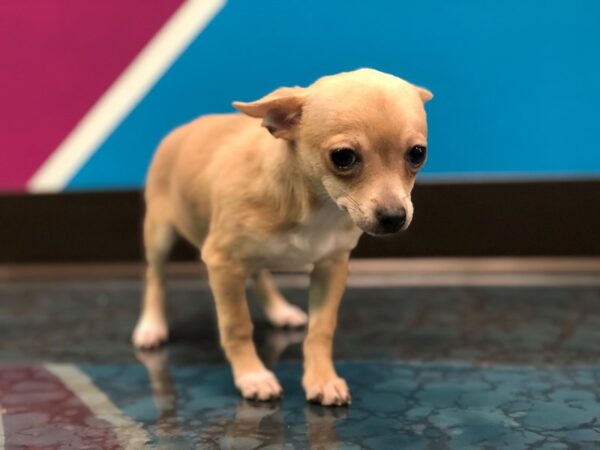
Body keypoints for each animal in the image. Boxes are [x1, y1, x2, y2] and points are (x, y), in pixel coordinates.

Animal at [132, 67, 432, 408]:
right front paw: (252, 375)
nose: (394, 217)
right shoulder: (223, 263)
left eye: (417, 154)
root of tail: (184, 128)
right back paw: (151, 326)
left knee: (258, 274)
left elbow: (321, 329)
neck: (316, 205)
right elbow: (237, 325)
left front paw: (321, 378)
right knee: (156, 277)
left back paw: (279, 310)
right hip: (160, 234)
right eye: (343, 157)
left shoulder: (331, 266)